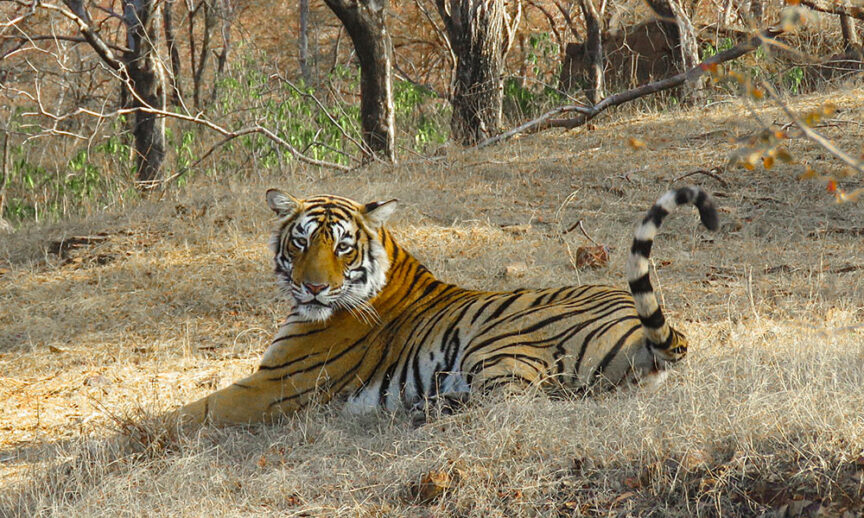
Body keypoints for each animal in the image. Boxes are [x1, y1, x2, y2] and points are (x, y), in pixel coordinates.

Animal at [176, 186, 718, 425]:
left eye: (343, 248)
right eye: (301, 242)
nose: (311, 288)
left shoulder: (273, 384)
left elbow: (181, 416)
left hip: (496, 346)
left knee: (522, 409)